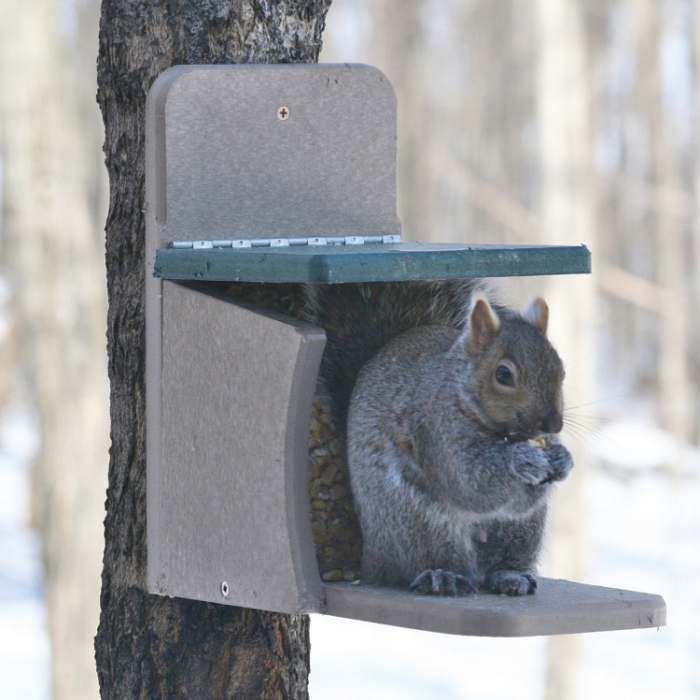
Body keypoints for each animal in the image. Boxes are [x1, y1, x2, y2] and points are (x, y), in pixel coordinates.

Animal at [304, 282, 572, 600]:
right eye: (503, 374)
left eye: (561, 370)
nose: (553, 424)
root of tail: (372, 556)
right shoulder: (434, 430)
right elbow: (470, 481)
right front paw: (522, 460)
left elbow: (519, 499)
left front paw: (562, 459)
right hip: (418, 525)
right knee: (428, 560)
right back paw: (442, 576)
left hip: (520, 531)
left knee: (502, 558)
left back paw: (511, 575)